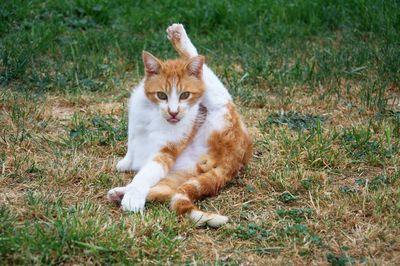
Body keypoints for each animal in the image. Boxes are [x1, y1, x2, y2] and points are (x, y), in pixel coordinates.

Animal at [108, 23, 252, 227]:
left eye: (185, 95)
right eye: (161, 95)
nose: (174, 112)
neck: (154, 114)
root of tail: (235, 160)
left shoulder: (166, 152)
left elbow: (144, 175)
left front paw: (134, 195)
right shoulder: (135, 120)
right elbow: (132, 143)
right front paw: (126, 163)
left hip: (219, 105)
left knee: (209, 76)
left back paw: (180, 37)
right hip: (182, 173)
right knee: (166, 191)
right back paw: (120, 193)